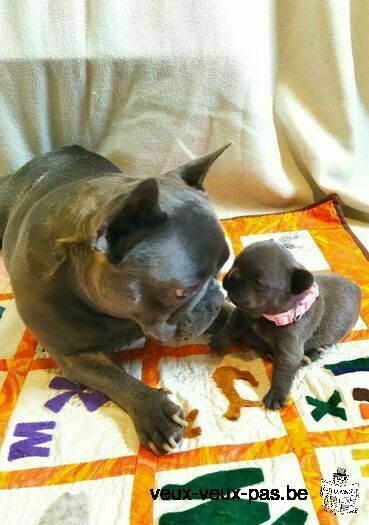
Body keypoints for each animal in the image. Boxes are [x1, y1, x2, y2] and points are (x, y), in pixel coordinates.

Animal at [210, 239, 360, 408]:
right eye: (234, 264)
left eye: (258, 283)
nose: (232, 277)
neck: (266, 316)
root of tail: (357, 288)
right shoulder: (242, 314)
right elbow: (230, 327)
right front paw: (219, 342)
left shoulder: (289, 348)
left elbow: (283, 371)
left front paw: (276, 394)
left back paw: (311, 354)